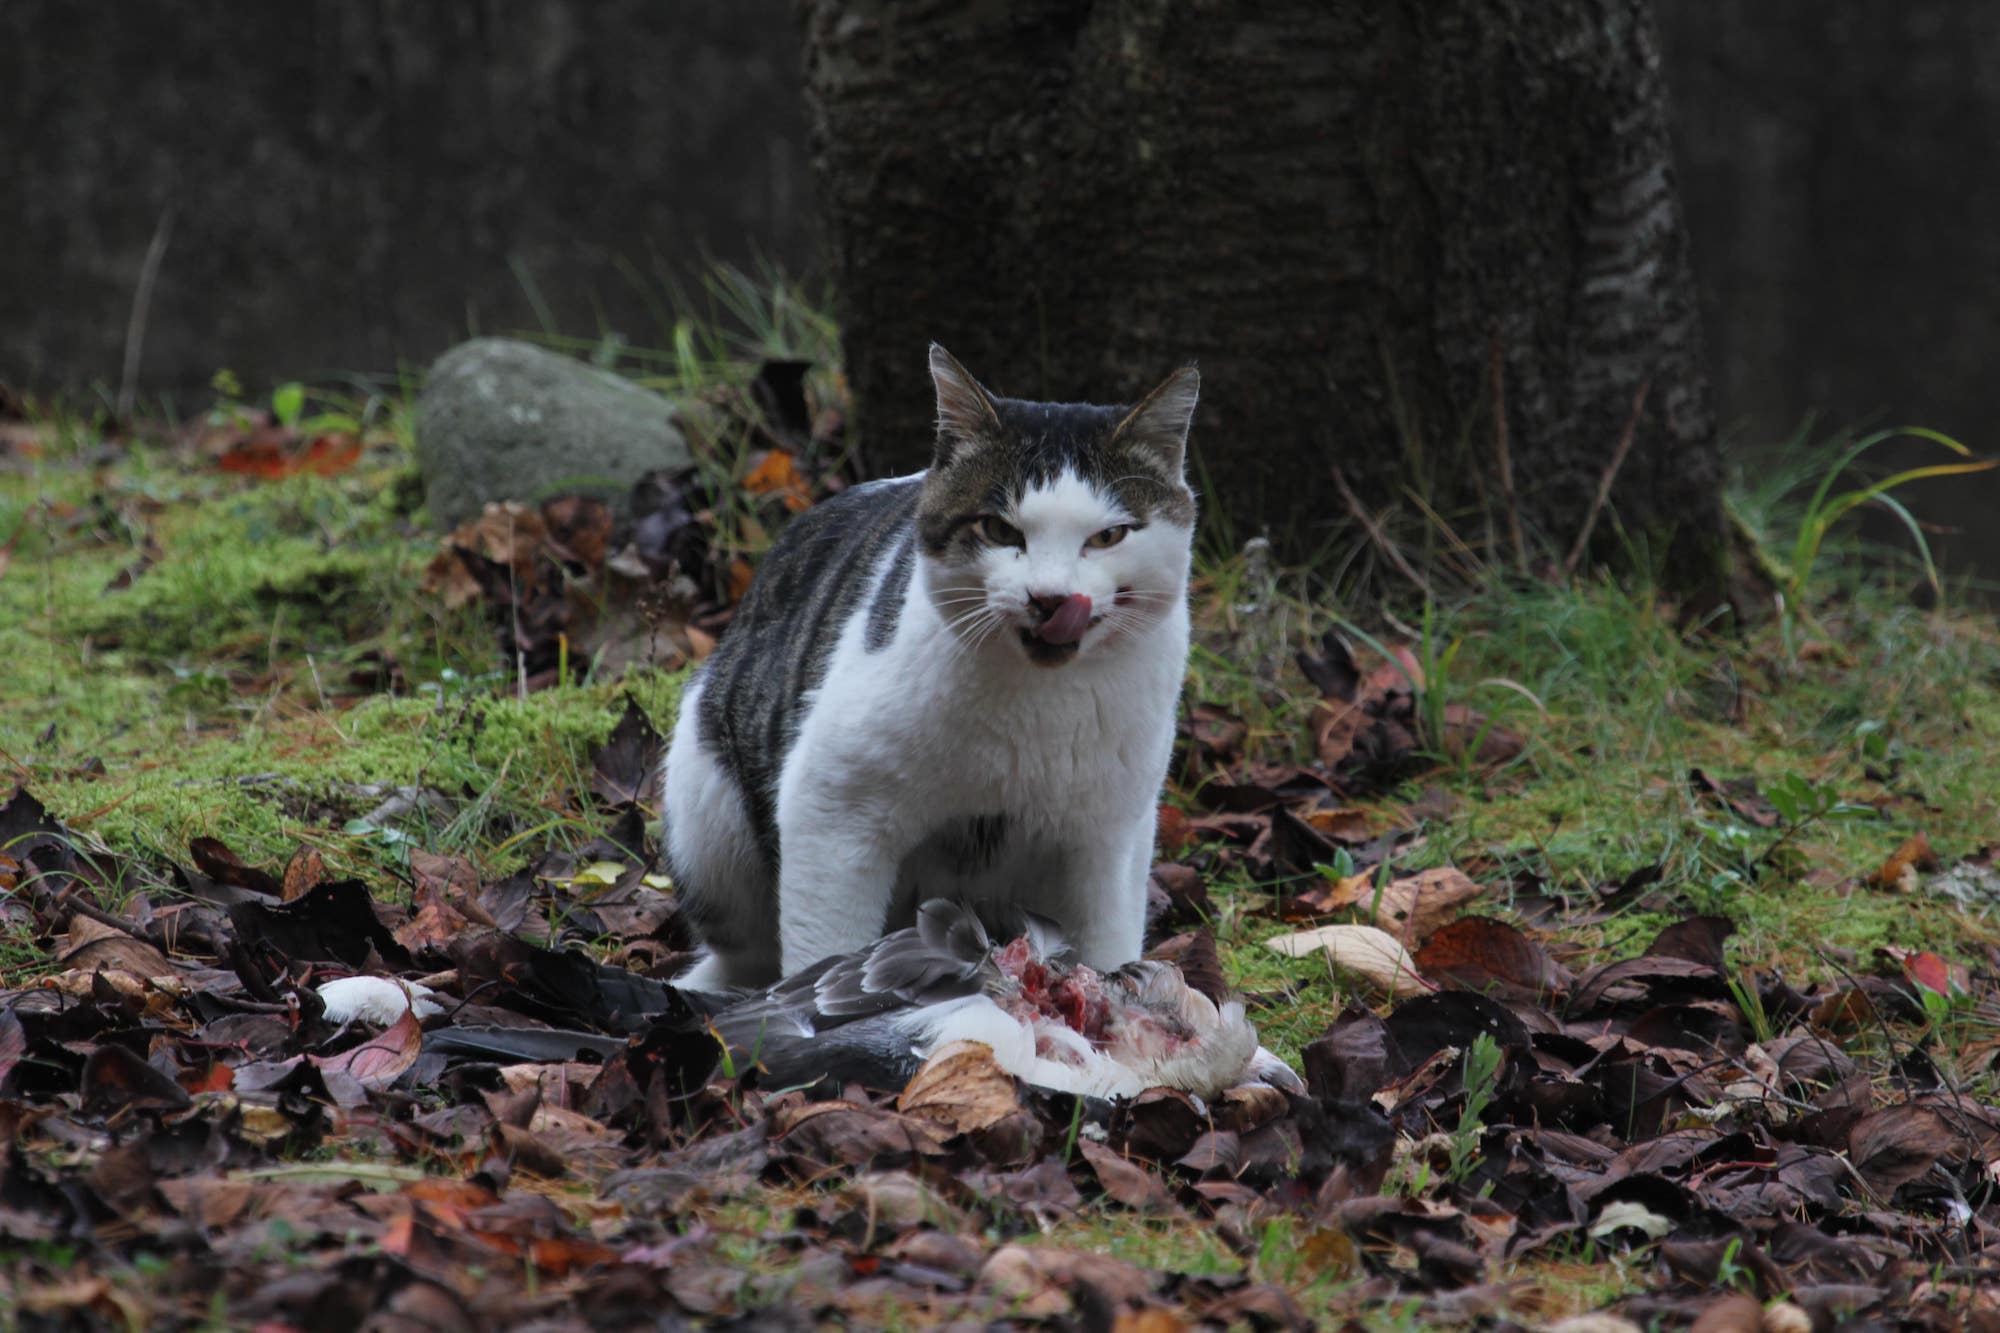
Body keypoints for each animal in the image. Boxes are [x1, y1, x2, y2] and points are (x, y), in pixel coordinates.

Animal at [664, 342, 1192, 984]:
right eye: (998, 528)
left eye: (1109, 536)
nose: (1051, 599)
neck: (1040, 703)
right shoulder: (830, 810)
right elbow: (822, 938)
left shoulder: (1108, 835)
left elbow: (1106, 935)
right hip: (706, 809)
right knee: (741, 948)